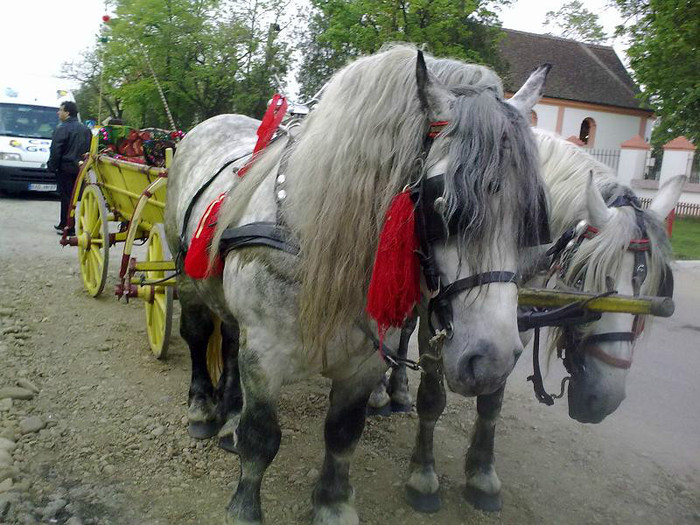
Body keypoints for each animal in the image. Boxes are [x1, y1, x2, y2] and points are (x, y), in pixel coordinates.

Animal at [165, 46, 552, 524]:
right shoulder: (266, 356)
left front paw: (333, 504)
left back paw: (230, 414)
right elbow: (261, 439)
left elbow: (343, 434)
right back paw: (203, 408)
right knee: (199, 335)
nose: (493, 361)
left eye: (532, 218)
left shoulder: (365, 363)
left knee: (231, 339)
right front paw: (244, 509)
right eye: (441, 205)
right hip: (187, 278)